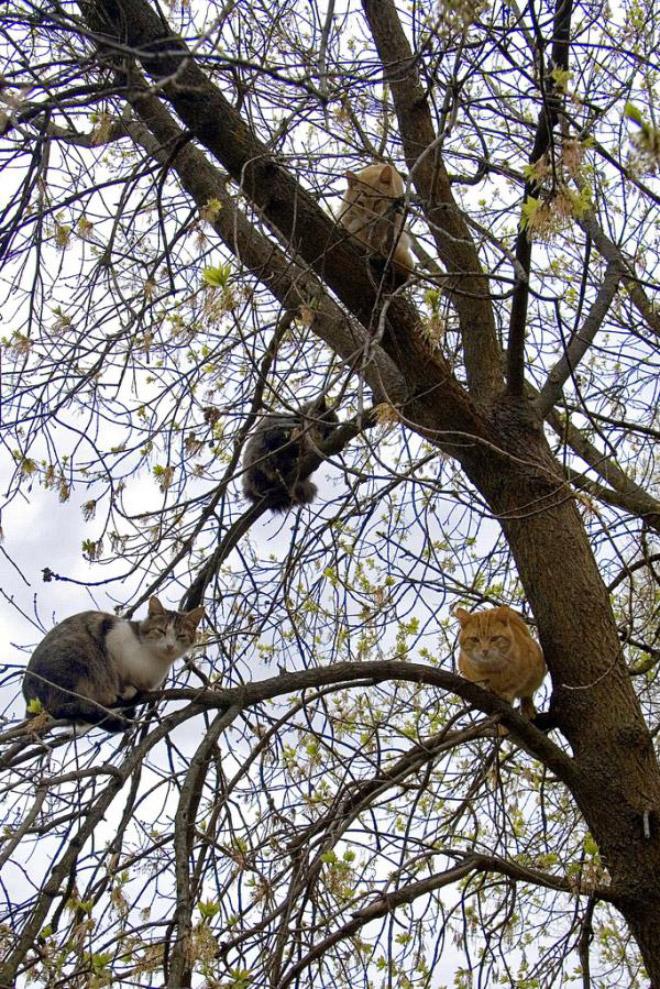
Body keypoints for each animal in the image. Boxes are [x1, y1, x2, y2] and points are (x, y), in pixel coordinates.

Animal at [23, 596, 204, 732]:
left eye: (181, 636)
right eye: (161, 631)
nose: (170, 646)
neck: (154, 661)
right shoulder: (111, 636)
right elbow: (116, 670)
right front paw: (126, 689)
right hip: (74, 657)